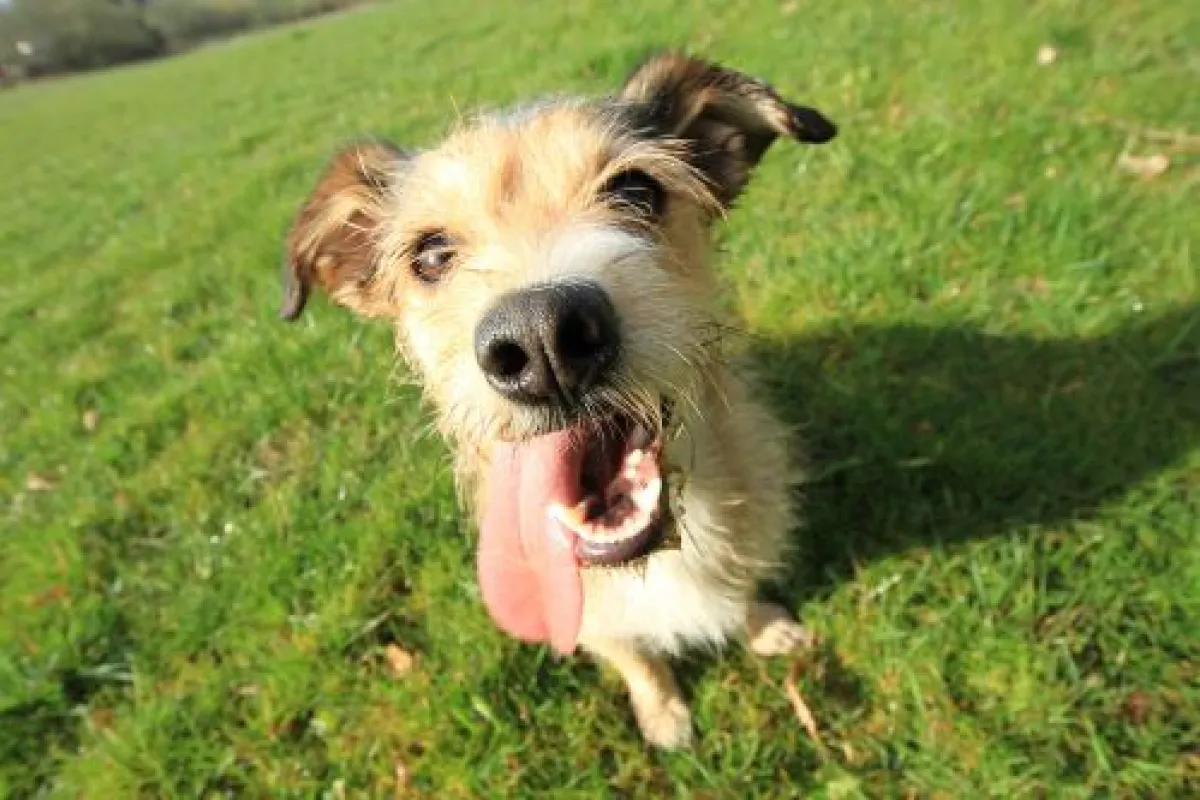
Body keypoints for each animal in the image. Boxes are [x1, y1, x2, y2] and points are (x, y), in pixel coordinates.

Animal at [274, 53, 835, 748]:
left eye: (636, 189)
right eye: (431, 253)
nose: (543, 339)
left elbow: (743, 583)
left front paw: (766, 626)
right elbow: (635, 658)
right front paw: (664, 715)